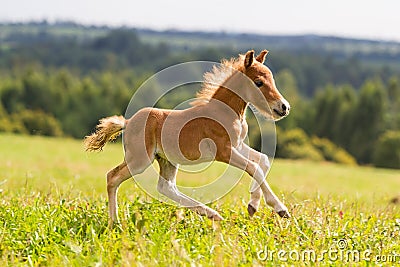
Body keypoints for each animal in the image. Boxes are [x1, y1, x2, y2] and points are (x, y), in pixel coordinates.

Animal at [84, 50, 290, 224]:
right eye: (258, 82)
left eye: (272, 79)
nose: (284, 107)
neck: (226, 112)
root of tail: (127, 122)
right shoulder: (223, 151)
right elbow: (253, 167)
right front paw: (280, 209)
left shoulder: (237, 145)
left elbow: (262, 161)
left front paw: (253, 205)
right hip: (140, 159)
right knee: (113, 177)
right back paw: (115, 223)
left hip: (166, 160)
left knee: (166, 187)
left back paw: (212, 214)